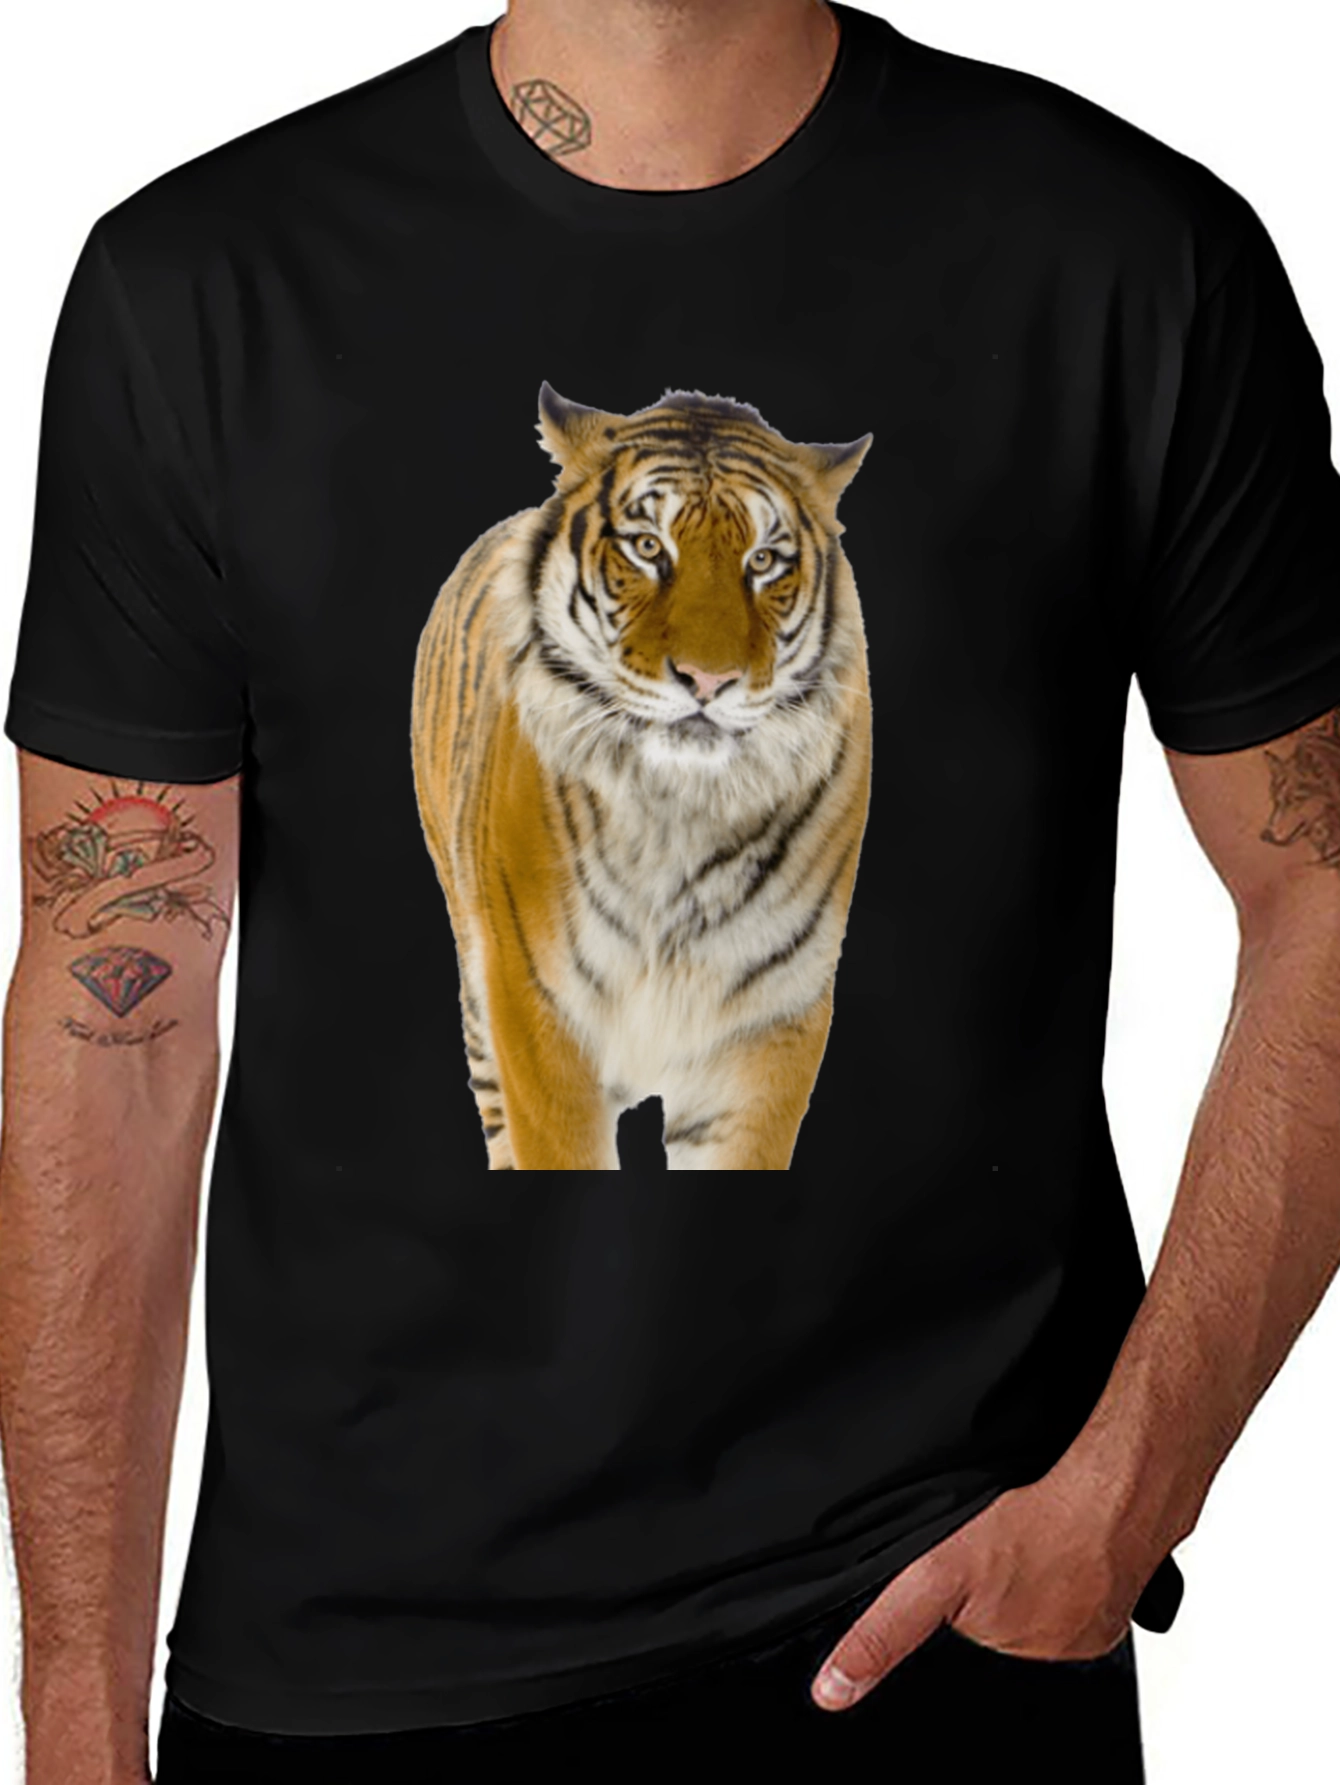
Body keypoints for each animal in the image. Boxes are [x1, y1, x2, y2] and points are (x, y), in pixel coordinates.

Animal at [411, 385, 873, 1171]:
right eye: (649, 547)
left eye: (764, 560)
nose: (708, 681)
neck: (680, 807)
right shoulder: (540, 1012)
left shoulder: (768, 1024)